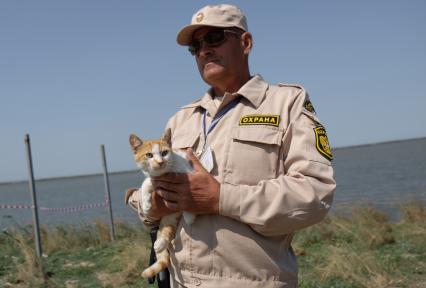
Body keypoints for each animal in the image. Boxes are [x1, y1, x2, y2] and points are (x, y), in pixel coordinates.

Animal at [124, 130, 196, 280]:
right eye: (149, 155)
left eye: (164, 153)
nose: (160, 162)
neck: (165, 174)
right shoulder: (154, 178)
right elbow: (146, 183)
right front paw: (146, 203)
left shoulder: (189, 172)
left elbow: (188, 190)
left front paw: (190, 214)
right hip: (169, 218)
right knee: (166, 232)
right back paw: (160, 244)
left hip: (173, 217)